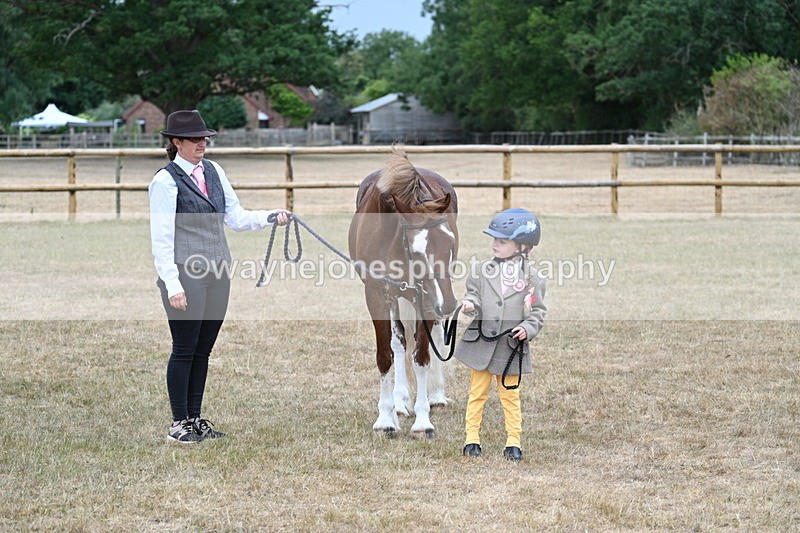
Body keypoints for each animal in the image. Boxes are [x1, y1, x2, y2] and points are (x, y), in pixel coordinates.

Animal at [348, 147, 459, 437]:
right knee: (399, 343)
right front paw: (385, 419)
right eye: (417, 250)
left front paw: (423, 421)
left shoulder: (427, 299)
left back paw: (436, 395)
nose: (449, 304)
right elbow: (385, 356)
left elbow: (421, 357)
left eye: (450, 243)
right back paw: (399, 402)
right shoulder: (376, 297)